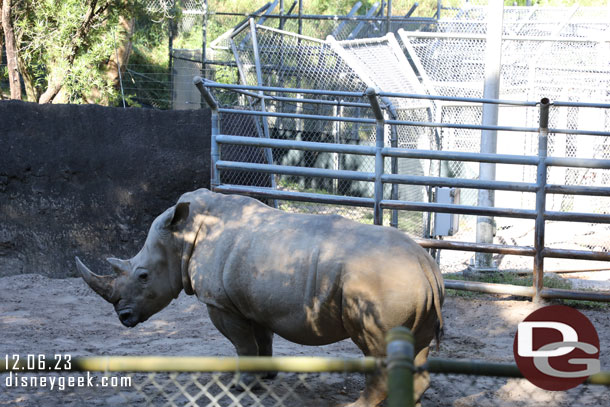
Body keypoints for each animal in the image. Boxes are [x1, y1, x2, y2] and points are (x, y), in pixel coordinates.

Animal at [76, 190, 442, 406]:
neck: (181, 237)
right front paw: (266, 377)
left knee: (376, 347)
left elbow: (241, 343)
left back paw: (353, 406)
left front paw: (242, 386)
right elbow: (261, 340)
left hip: (382, 283)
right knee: (416, 346)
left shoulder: (220, 303)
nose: (124, 317)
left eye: (143, 276)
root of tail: (426, 265)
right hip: (406, 282)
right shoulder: (254, 301)